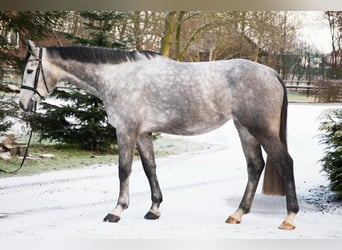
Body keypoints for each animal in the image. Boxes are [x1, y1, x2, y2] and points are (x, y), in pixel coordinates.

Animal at [18, 40, 298, 229]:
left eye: (30, 71)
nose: (22, 104)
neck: (119, 77)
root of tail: (272, 73)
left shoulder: (126, 131)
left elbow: (124, 170)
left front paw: (116, 211)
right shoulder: (143, 133)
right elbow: (149, 168)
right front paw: (154, 209)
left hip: (262, 131)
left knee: (284, 163)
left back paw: (289, 217)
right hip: (245, 130)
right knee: (255, 166)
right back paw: (237, 214)